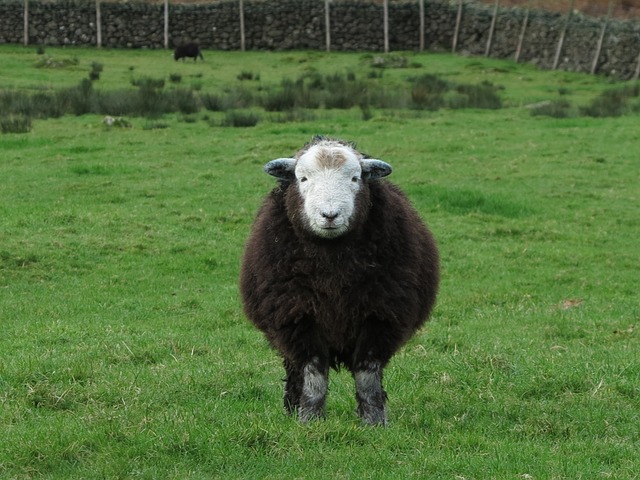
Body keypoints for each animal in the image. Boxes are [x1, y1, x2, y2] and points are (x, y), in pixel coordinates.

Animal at [240, 135, 440, 424]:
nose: (330, 215)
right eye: (302, 178)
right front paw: (310, 420)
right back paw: (292, 407)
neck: (332, 267)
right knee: (294, 370)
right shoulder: (296, 316)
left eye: (355, 178)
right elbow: (314, 373)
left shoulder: (380, 316)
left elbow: (367, 374)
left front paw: (373, 421)